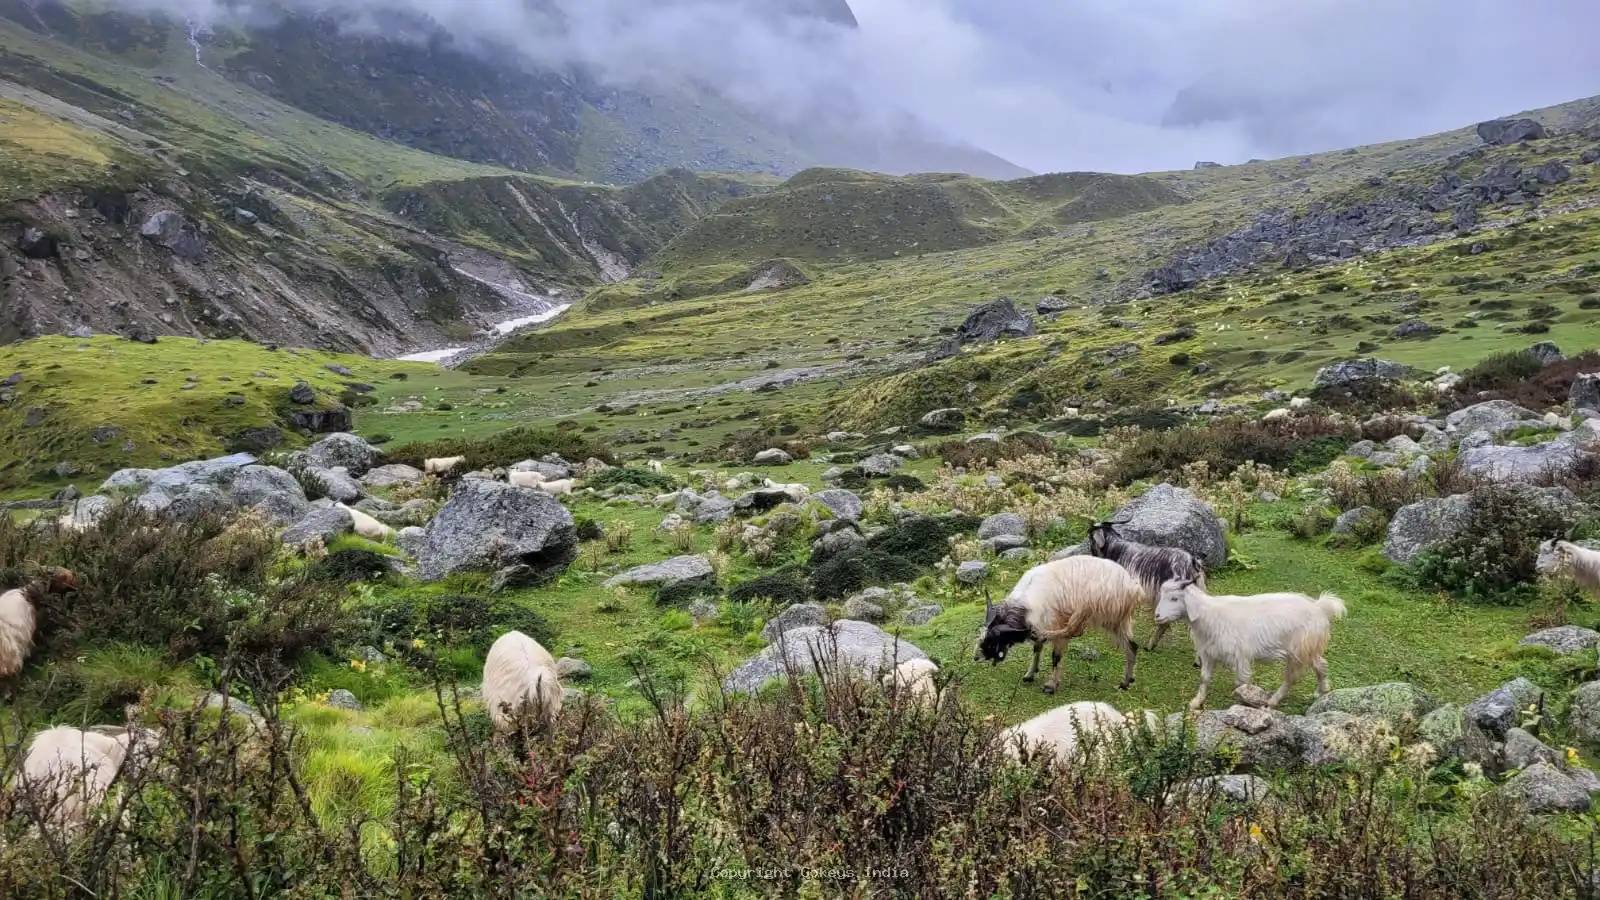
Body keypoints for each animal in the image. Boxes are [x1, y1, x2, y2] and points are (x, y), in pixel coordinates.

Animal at [972, 554, 1152, 695]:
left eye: (993, 641)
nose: (976, 657)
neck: (1025, 605)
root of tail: (1133, 587)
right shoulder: (1041, 622)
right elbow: (1037, 649)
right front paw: (1030, 674)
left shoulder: (1053, 621)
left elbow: (1055, 656)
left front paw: (1051, 685)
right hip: (1117, 621)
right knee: (1132, 646)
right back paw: (1126, 682)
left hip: (1092, 610)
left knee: (1073, 630)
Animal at [1081, 518, 1203, 650]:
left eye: (1090, 537)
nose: (1092, 554)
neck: (1117, 550)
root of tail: (1191, 563)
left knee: (1165, 622)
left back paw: (1150, 645)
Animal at [1158, 573, 1344, 707]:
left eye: (1175, 598)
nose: (1157, 616)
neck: (1209, 615)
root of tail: (1320, 607)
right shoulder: (1208, 654)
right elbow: (1204, 678)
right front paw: (1196, 702)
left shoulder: (1240, 657)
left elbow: (1241, 684)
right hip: (1308, 650)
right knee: (1321, 664)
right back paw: (1321, 691)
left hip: (1299, 650)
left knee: (1291, 677)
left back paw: (1273, 701)